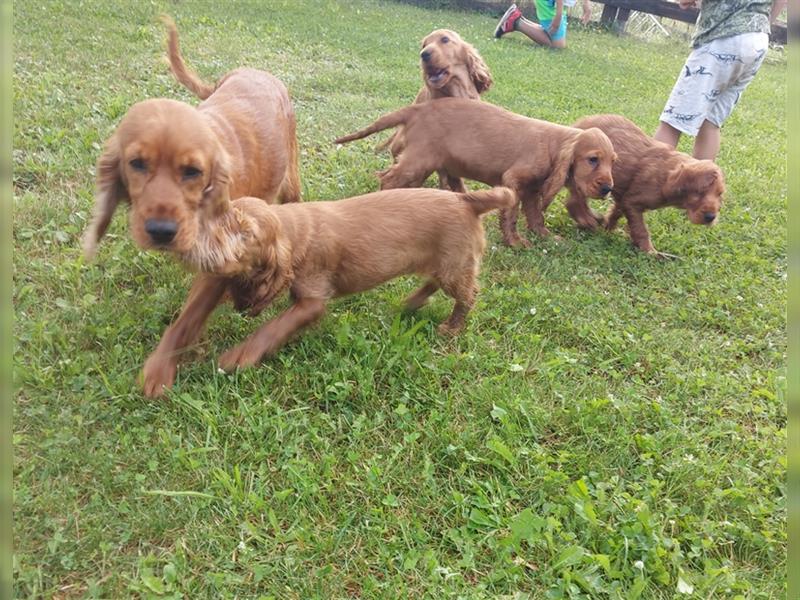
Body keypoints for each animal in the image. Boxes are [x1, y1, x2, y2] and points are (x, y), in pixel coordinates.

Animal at [334, 97, 616, 247]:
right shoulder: (513, 180)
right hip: (419, 160)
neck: (554, 146)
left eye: (613, 161)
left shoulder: (532, 190)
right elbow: (511, 214)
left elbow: (536, 215)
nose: (607, 188)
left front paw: (546, 237)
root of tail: (418, 109)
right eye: (593, 159)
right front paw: (514, 242)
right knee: (388, 179)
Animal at [568, 114, 724, 255]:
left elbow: (616, 212)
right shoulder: (632, 202)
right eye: (700, 192)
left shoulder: (624, 199)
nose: (711, 217)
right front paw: (649, 251)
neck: (665, 177)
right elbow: (641, 229)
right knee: (575, 200)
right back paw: (586, 219)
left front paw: (608, 229)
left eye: (719, 195)